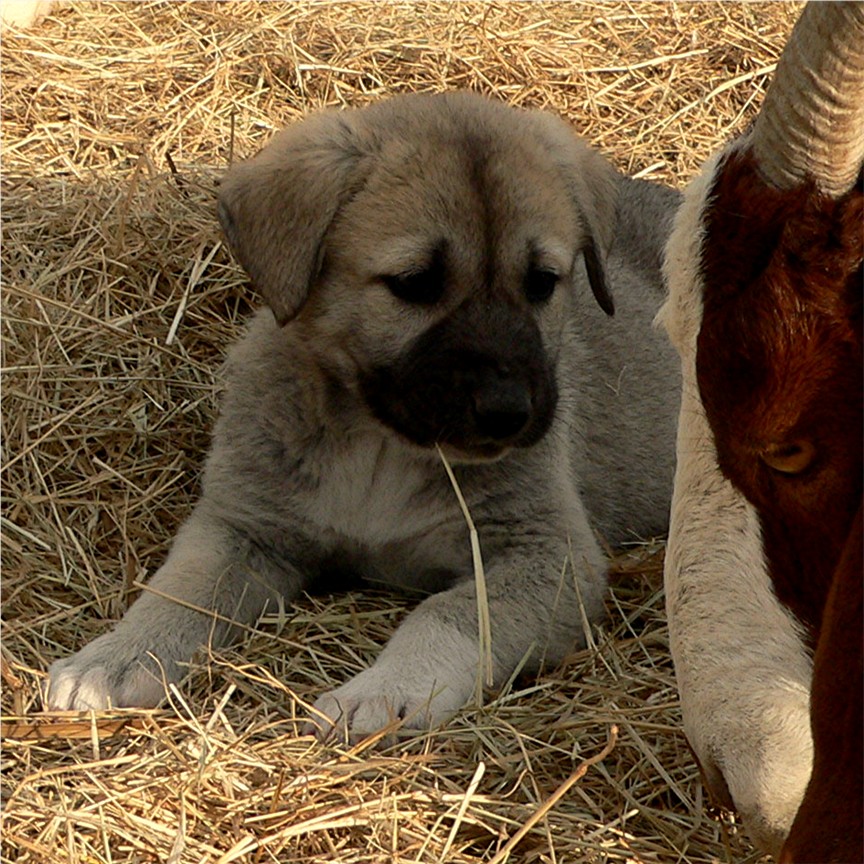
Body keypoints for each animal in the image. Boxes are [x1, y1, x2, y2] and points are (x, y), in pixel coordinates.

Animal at [47, 96, 680, 744]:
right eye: (415, 283)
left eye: (543, 282)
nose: (510, 412)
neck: (378, 446)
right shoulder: (241, 526)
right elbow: (180, 591)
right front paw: (117, 658)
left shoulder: (548, 556)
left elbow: (447, 614)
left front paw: (384, 691)